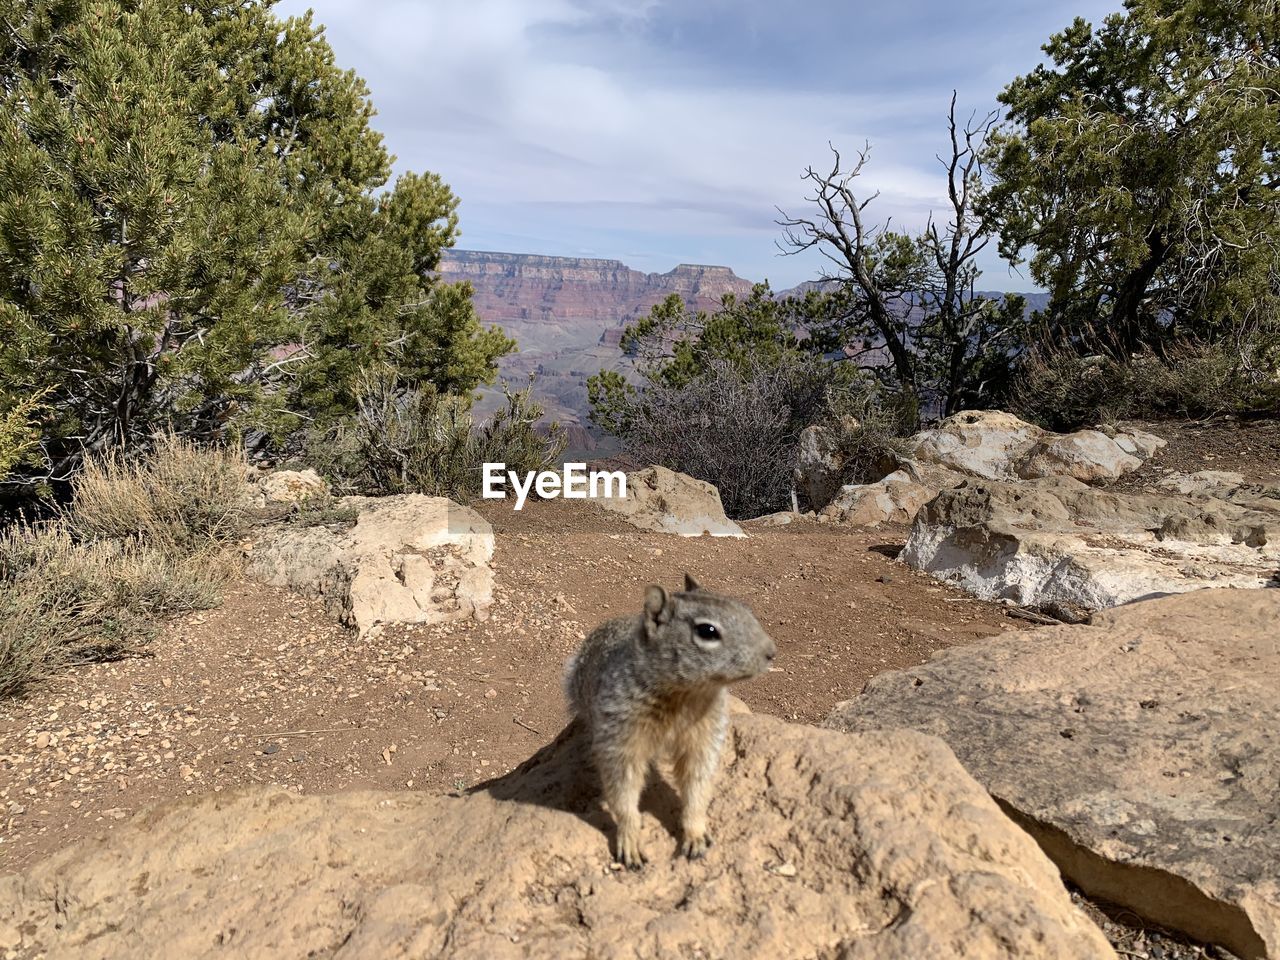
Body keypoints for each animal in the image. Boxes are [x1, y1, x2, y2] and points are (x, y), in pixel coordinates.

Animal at [565, 578, 773, 870]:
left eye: (746, 609)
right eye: (707, 631)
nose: (771, 652)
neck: (685, 695)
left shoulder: (705, 739)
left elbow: (698, 787)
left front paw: (695, 834)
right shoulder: (620, 741)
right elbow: (623, 793)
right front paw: (630, 842)